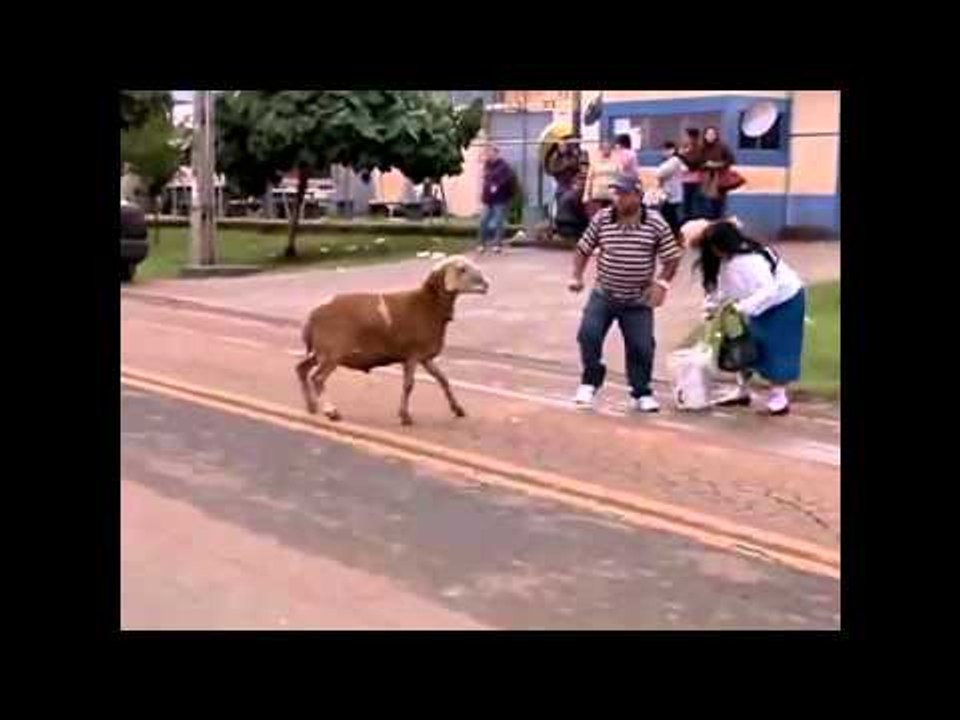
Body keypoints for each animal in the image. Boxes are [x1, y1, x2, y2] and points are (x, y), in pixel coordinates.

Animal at [296, 255, 490, 425]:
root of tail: (312, 316)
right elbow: (409, 385)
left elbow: (443, 380)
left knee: (301, 369)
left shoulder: (425, 357)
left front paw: (458, 409)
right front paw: (405, 416)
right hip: (332, 352)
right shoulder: (412, 354)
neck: (428, 305)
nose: (486, 285)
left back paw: (311, 406)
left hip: (320, 351)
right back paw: (331, 411)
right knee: (318, 378)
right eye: (462, 269)